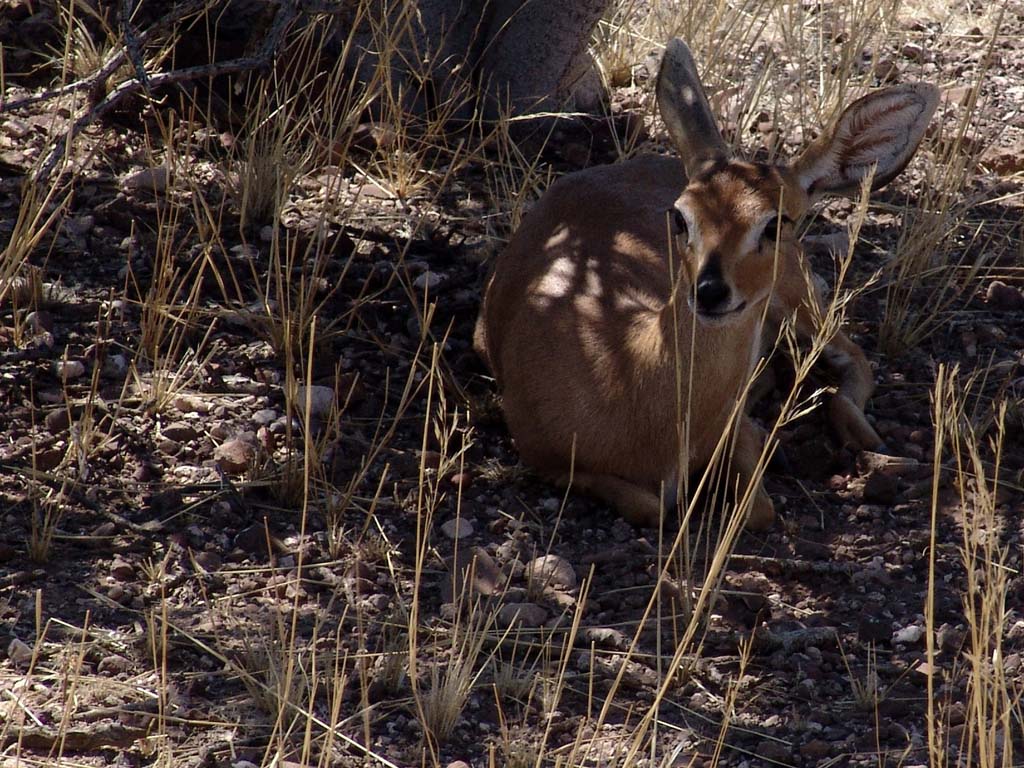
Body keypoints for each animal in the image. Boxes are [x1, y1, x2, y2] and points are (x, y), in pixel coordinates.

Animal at [471, 39, 937, 532]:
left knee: (854, 356)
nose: (711, 290)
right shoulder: (540, 452)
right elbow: (653, 506)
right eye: (680, 216)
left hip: (798, 303)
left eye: (776, 222)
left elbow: (757, 506)